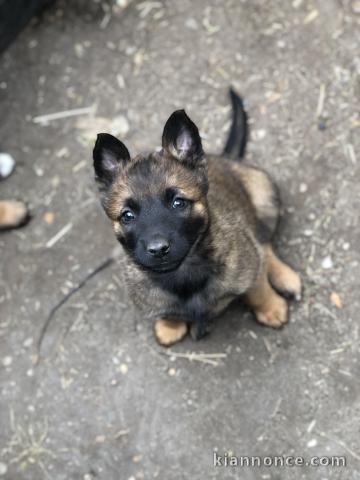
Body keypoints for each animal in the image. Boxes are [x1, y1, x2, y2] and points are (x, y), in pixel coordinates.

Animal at [92, 90, 300, 344]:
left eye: (178, 202)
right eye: (127, 216)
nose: (158, 249)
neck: (182, 275)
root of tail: (224, 158)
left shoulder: (249, 261)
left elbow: (258, 288)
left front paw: (270, 308)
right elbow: (167, 312)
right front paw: (170, 326)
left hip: (264, 195)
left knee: (264, 242)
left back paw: (285, 277)